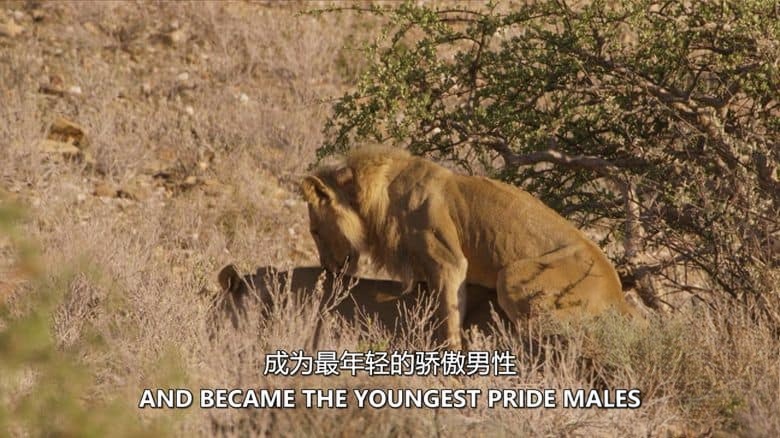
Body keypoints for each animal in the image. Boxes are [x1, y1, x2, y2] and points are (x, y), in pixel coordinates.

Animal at [300, 146, 637, 349]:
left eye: (315, 230)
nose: (327, 268)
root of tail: (617, 293)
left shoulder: (448, 262)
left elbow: (448, 319)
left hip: (513, 276)